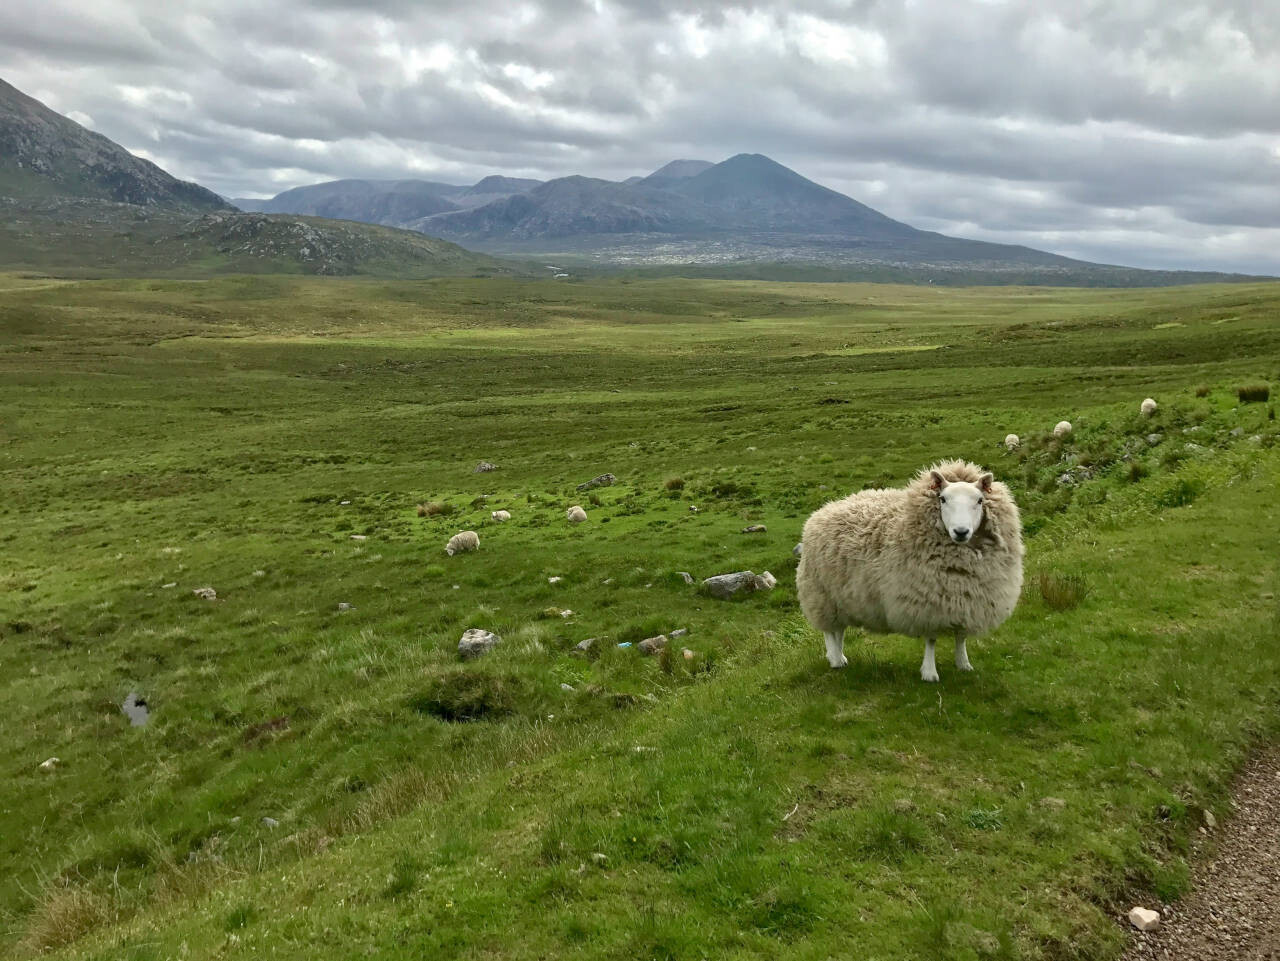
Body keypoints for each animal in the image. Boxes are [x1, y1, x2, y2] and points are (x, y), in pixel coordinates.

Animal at [793, 460, 1024, 680]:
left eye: (979, 500)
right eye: (942, 499)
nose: (961, 531)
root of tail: (822, 510)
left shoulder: (967, 599)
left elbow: (961, 636)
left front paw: (964, 664)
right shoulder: (927, 601)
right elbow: (931, 640)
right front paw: (929, 673)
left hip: (841, 596)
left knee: (839, 630)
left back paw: (840, 656)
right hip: (821, 594)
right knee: (830, 632)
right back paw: (834, 658)